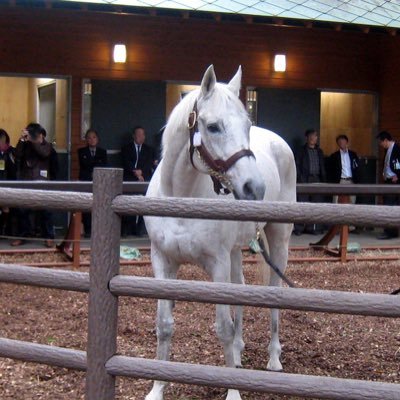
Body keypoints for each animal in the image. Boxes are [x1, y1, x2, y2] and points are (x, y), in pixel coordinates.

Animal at [143, 65, 294, 400]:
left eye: (247, 124)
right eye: (212, 127)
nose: (254, 188)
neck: (182, 198)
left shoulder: (217, 264)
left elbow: (223, 328)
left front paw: (233, 392)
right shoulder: (163, 261)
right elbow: (163, 324)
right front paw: (157, 388)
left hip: (278, 239)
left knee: (275, 292)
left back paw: (274, 358)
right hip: (237, 251)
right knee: (240, 290)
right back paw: (237, 354)